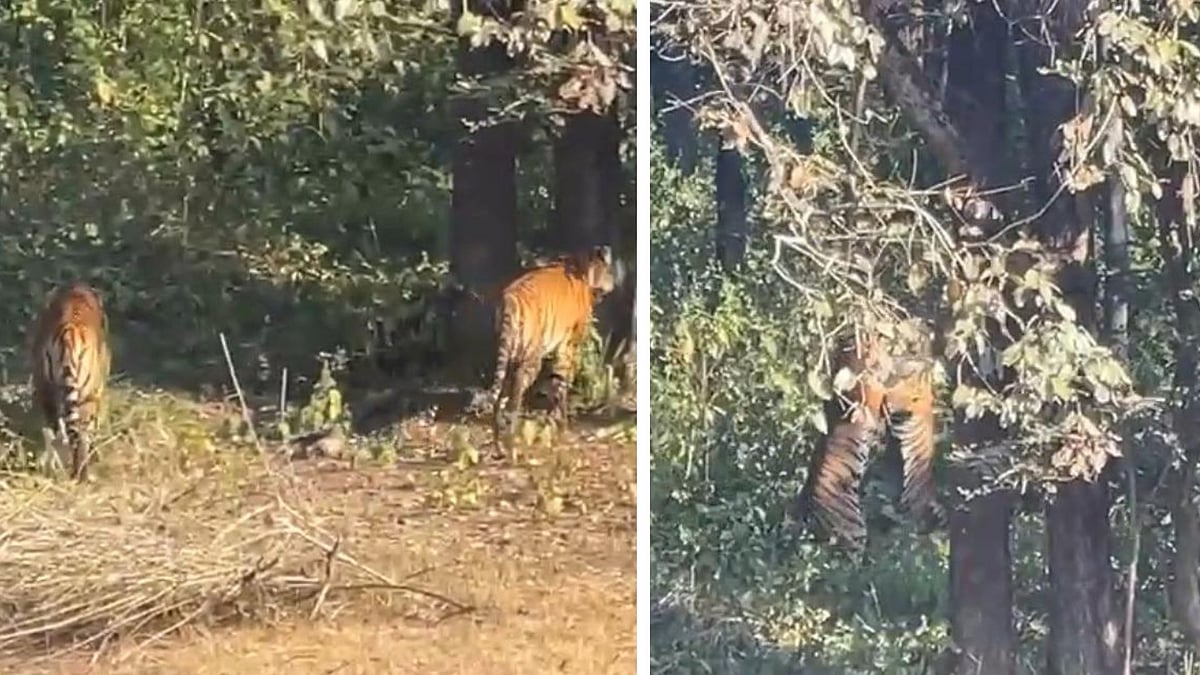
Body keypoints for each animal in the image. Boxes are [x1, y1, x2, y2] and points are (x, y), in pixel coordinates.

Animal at [30, 282, 112, 481]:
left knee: (51, 432)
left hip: (44, 389)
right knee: (80, 436)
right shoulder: (97, 393)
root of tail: (67, 333)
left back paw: (52, 468)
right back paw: (82, 474)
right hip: (86, 397)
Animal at [486, 245, 616, 453]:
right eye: (610, 271)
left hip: (507, 355)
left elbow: (556, 383)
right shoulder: (570, 345)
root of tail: (509, 300)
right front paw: (562, 426)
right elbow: (562, 383)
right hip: (531, 355)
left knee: (501, 395)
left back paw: (499, 445)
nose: (613, 284)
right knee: (515, 394)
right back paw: (511, 443)